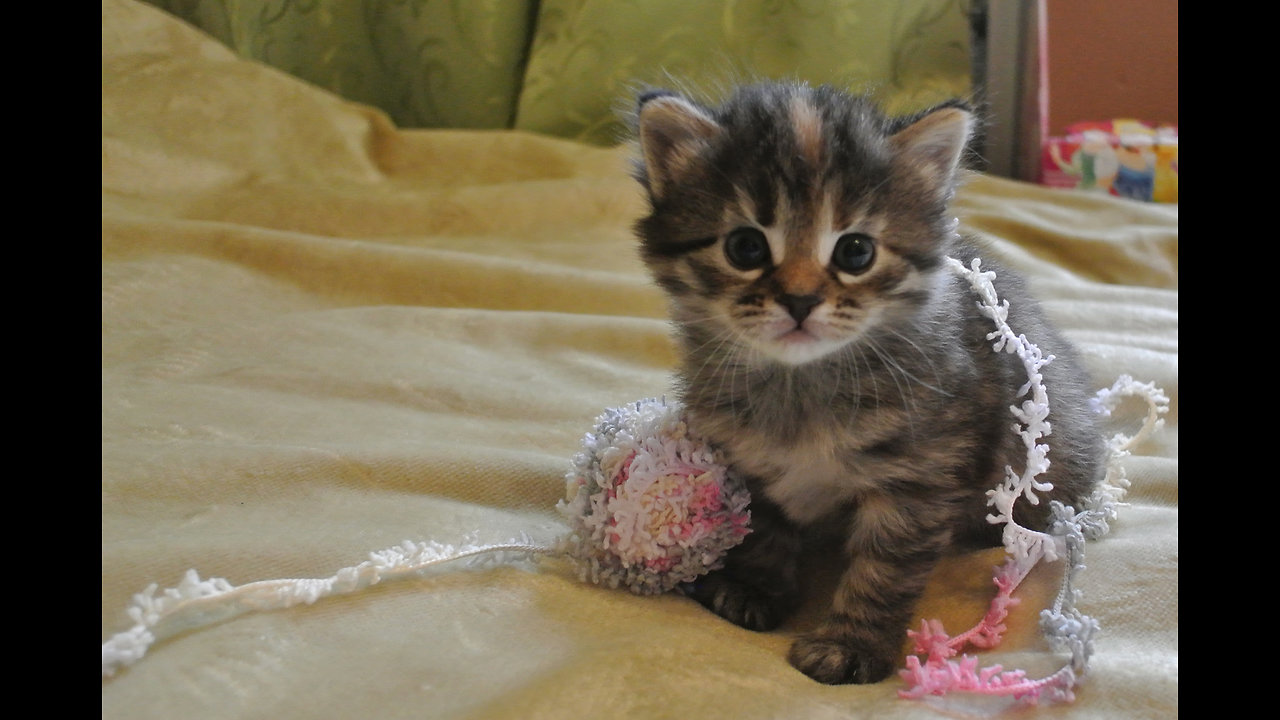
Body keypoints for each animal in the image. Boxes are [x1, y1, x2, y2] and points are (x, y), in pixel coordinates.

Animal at [632, 83, 1111, 681]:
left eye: (855, 252)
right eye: (746, 247)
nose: (800, 300)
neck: (801, 385)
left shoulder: (918, 477)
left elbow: (883, 571)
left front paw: (850, 646)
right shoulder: (746, 460)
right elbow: (761, 532)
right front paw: (755, 588)